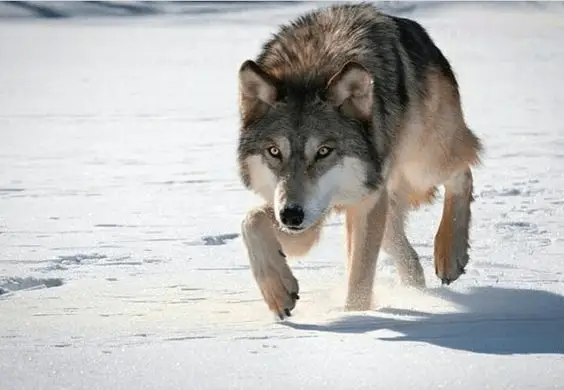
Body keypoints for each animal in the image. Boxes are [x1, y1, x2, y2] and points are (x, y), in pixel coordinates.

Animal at [236, 3, 482, 320]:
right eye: (274, 151)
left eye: (324, 151)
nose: (291, 215)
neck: (312, 66)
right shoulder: (307, 219)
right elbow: (251, 221)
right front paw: (278, 292)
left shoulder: (363, 203)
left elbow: (360, 276)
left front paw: (356, 317)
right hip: (383, 198)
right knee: (406, 253)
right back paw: (417, 292)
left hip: (423, 165)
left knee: (464, 172)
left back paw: (449, 256)